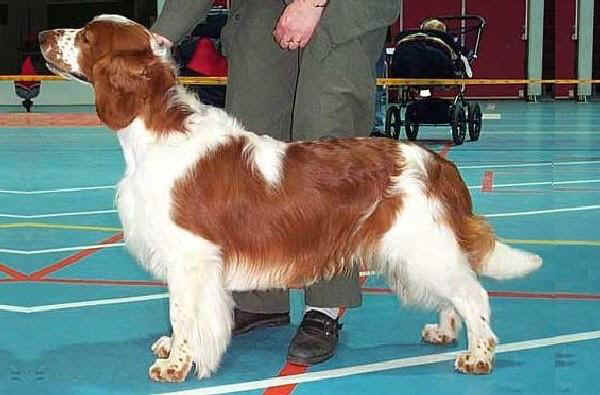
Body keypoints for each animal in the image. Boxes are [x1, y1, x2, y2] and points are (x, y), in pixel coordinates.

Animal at [38, 15, 544, 384]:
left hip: (422, 243)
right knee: (453, 295)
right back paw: (443, 331)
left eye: (86, 36)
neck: (156, 131)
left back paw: (478, 355)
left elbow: (183, 314)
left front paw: (175, 364)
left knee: (473, 293)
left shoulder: (190, 256)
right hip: (417, 248)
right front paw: (175, 349)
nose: (42, 35)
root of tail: (437, 162)